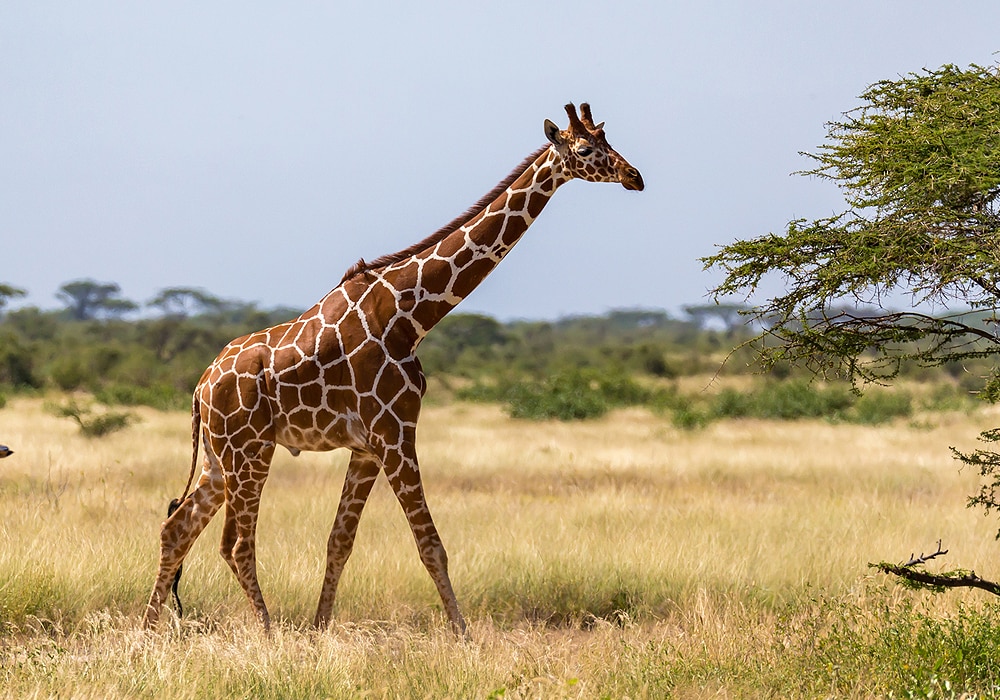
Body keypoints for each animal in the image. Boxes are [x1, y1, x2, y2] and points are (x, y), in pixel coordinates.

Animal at [145, 102, 644, 636]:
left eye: (608, 138)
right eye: (586, 149)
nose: (634, 176)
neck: (411, 314)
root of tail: (199, 388)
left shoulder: (367, 446)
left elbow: (339, 542)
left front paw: (320, 631)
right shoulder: (396, 432)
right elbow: (431, 545)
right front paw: (463, 636)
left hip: (220, 458)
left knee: (176, 527)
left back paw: (148, 628)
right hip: (250, 451)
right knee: (235, 544)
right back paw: (268, 632)